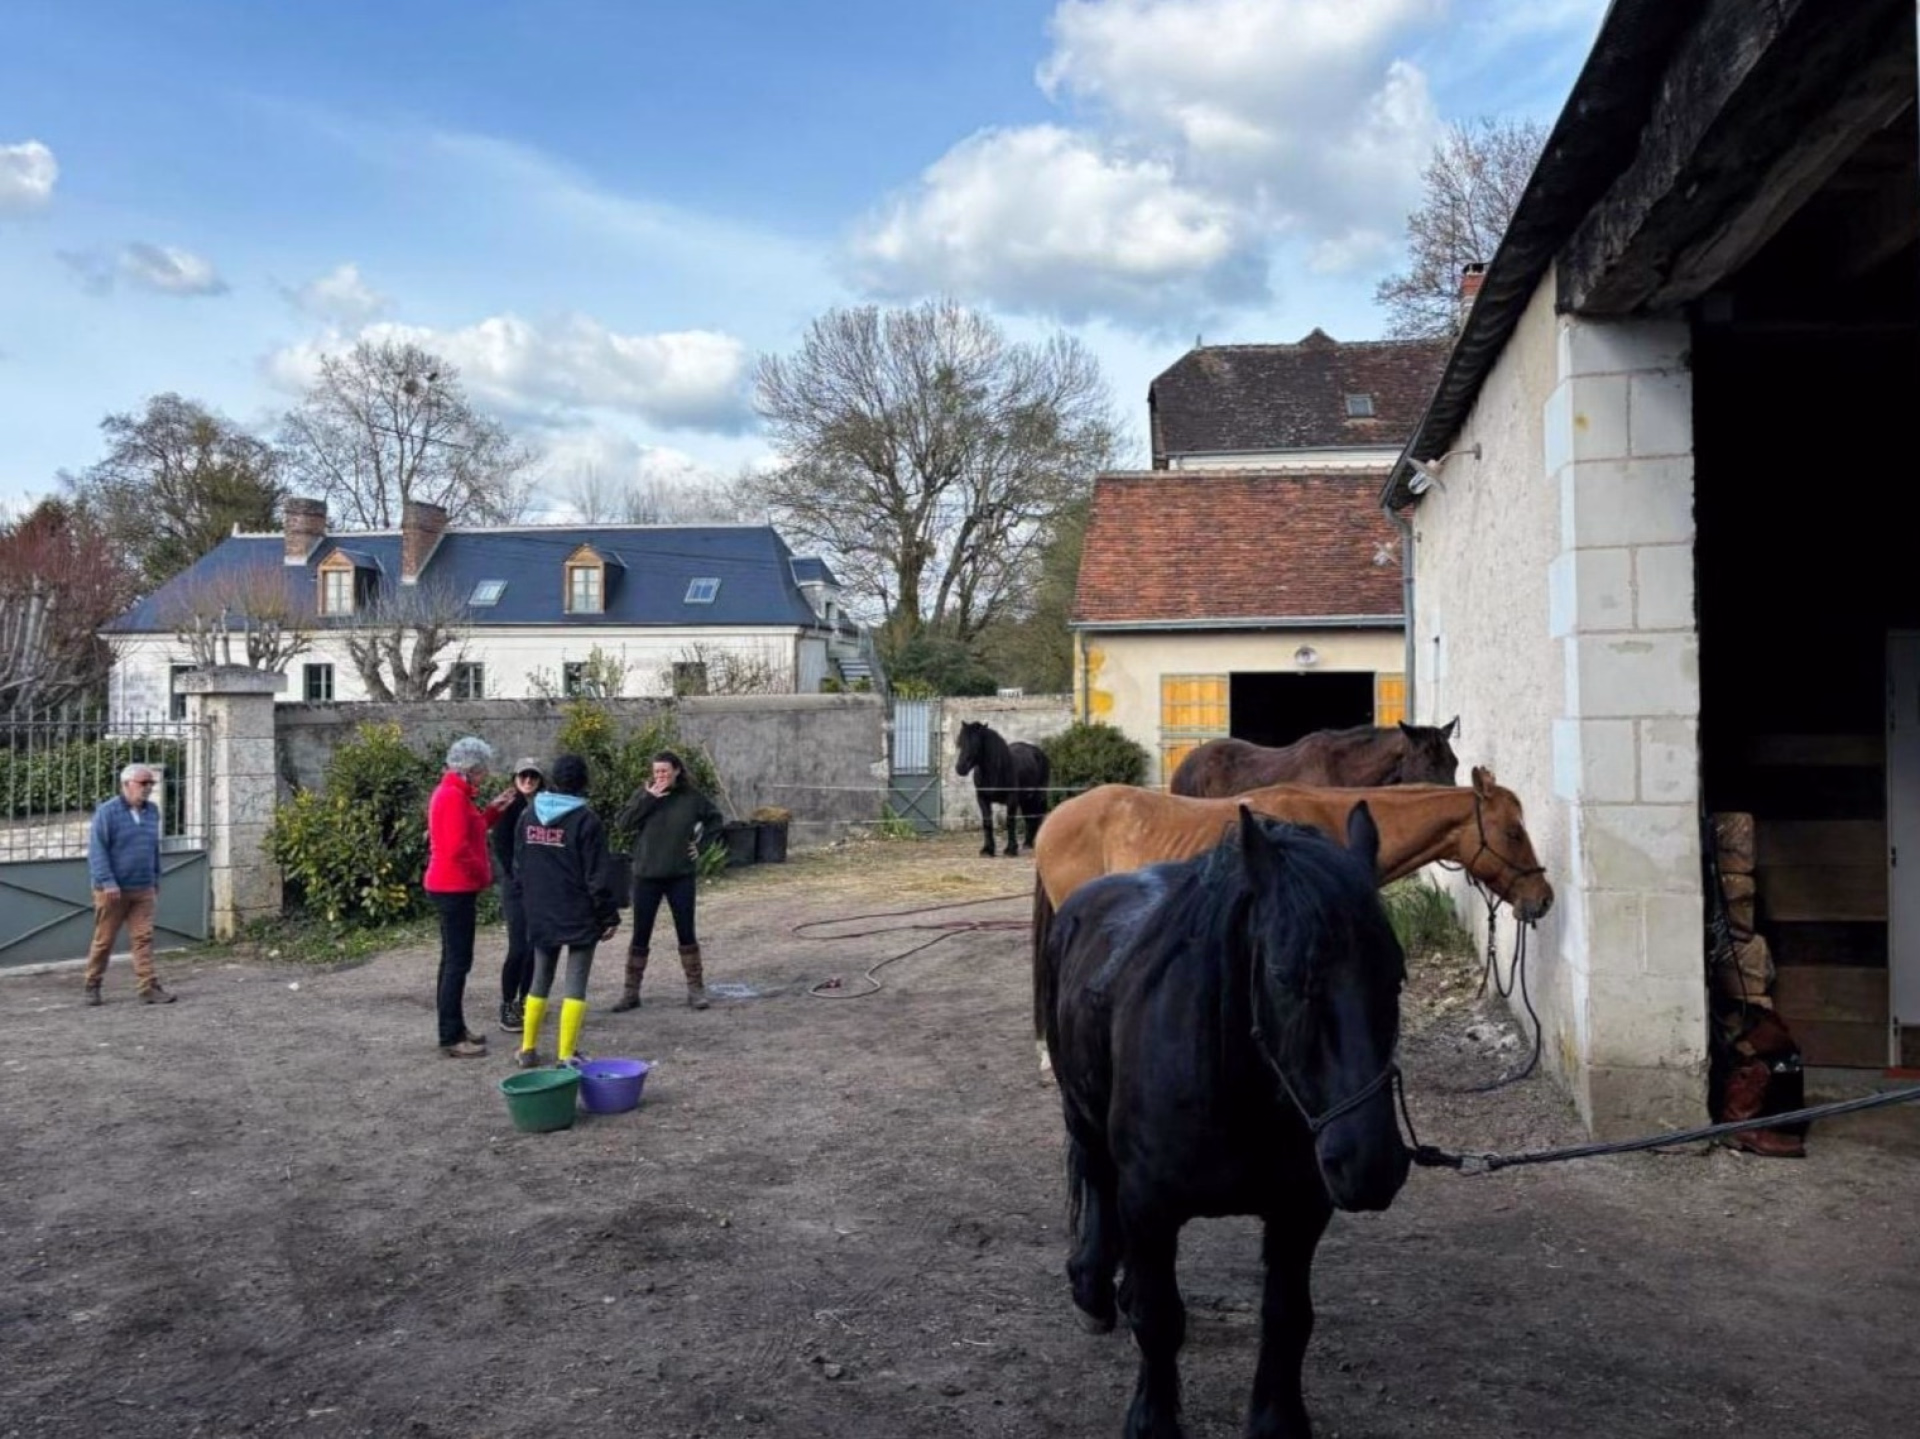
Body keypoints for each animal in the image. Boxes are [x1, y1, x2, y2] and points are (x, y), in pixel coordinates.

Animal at [954, 720, 1051, 858]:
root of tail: (1038, 752)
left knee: (1037, 816)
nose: (960, 768)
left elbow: (1010, 822)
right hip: (1026, 800)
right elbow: (987, 822)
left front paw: (1010, 850)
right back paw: (1027, 843)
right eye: (960, 743)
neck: (996, 772)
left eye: (976, 744)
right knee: (1029, 818)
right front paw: (987, 850)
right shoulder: (982, 799)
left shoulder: (1011, 800)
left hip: (1038, 796)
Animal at [1042, 803, 1409, 1439]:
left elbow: (1287, 1316)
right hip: (1083, 1117)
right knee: (1097, 1179)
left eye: (1397, 977)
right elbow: (1161, 1320)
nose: (1370, 1165)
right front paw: (1152, 1420)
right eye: (1286, 977)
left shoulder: (1300, 1210)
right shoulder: (1150, 1203)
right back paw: (1092, 1289)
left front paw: (1277, 1421)